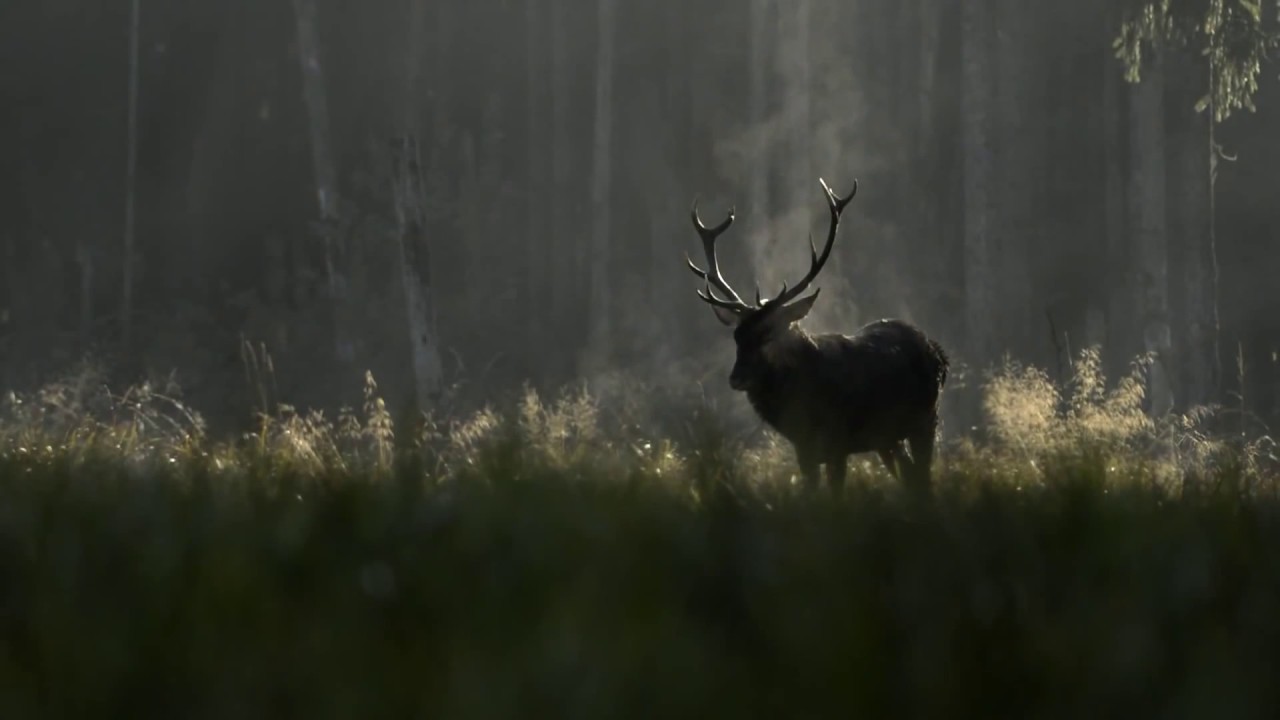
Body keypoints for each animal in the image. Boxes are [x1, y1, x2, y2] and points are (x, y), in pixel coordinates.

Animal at [685, 176, 949, 495]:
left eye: (768, 335)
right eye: (736, 336)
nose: (736, 378)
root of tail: (938, 351)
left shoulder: (838, 443)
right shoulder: (805, 451)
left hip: (927, 420)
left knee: (923, 478)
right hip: (888, 438)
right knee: (910, 477)